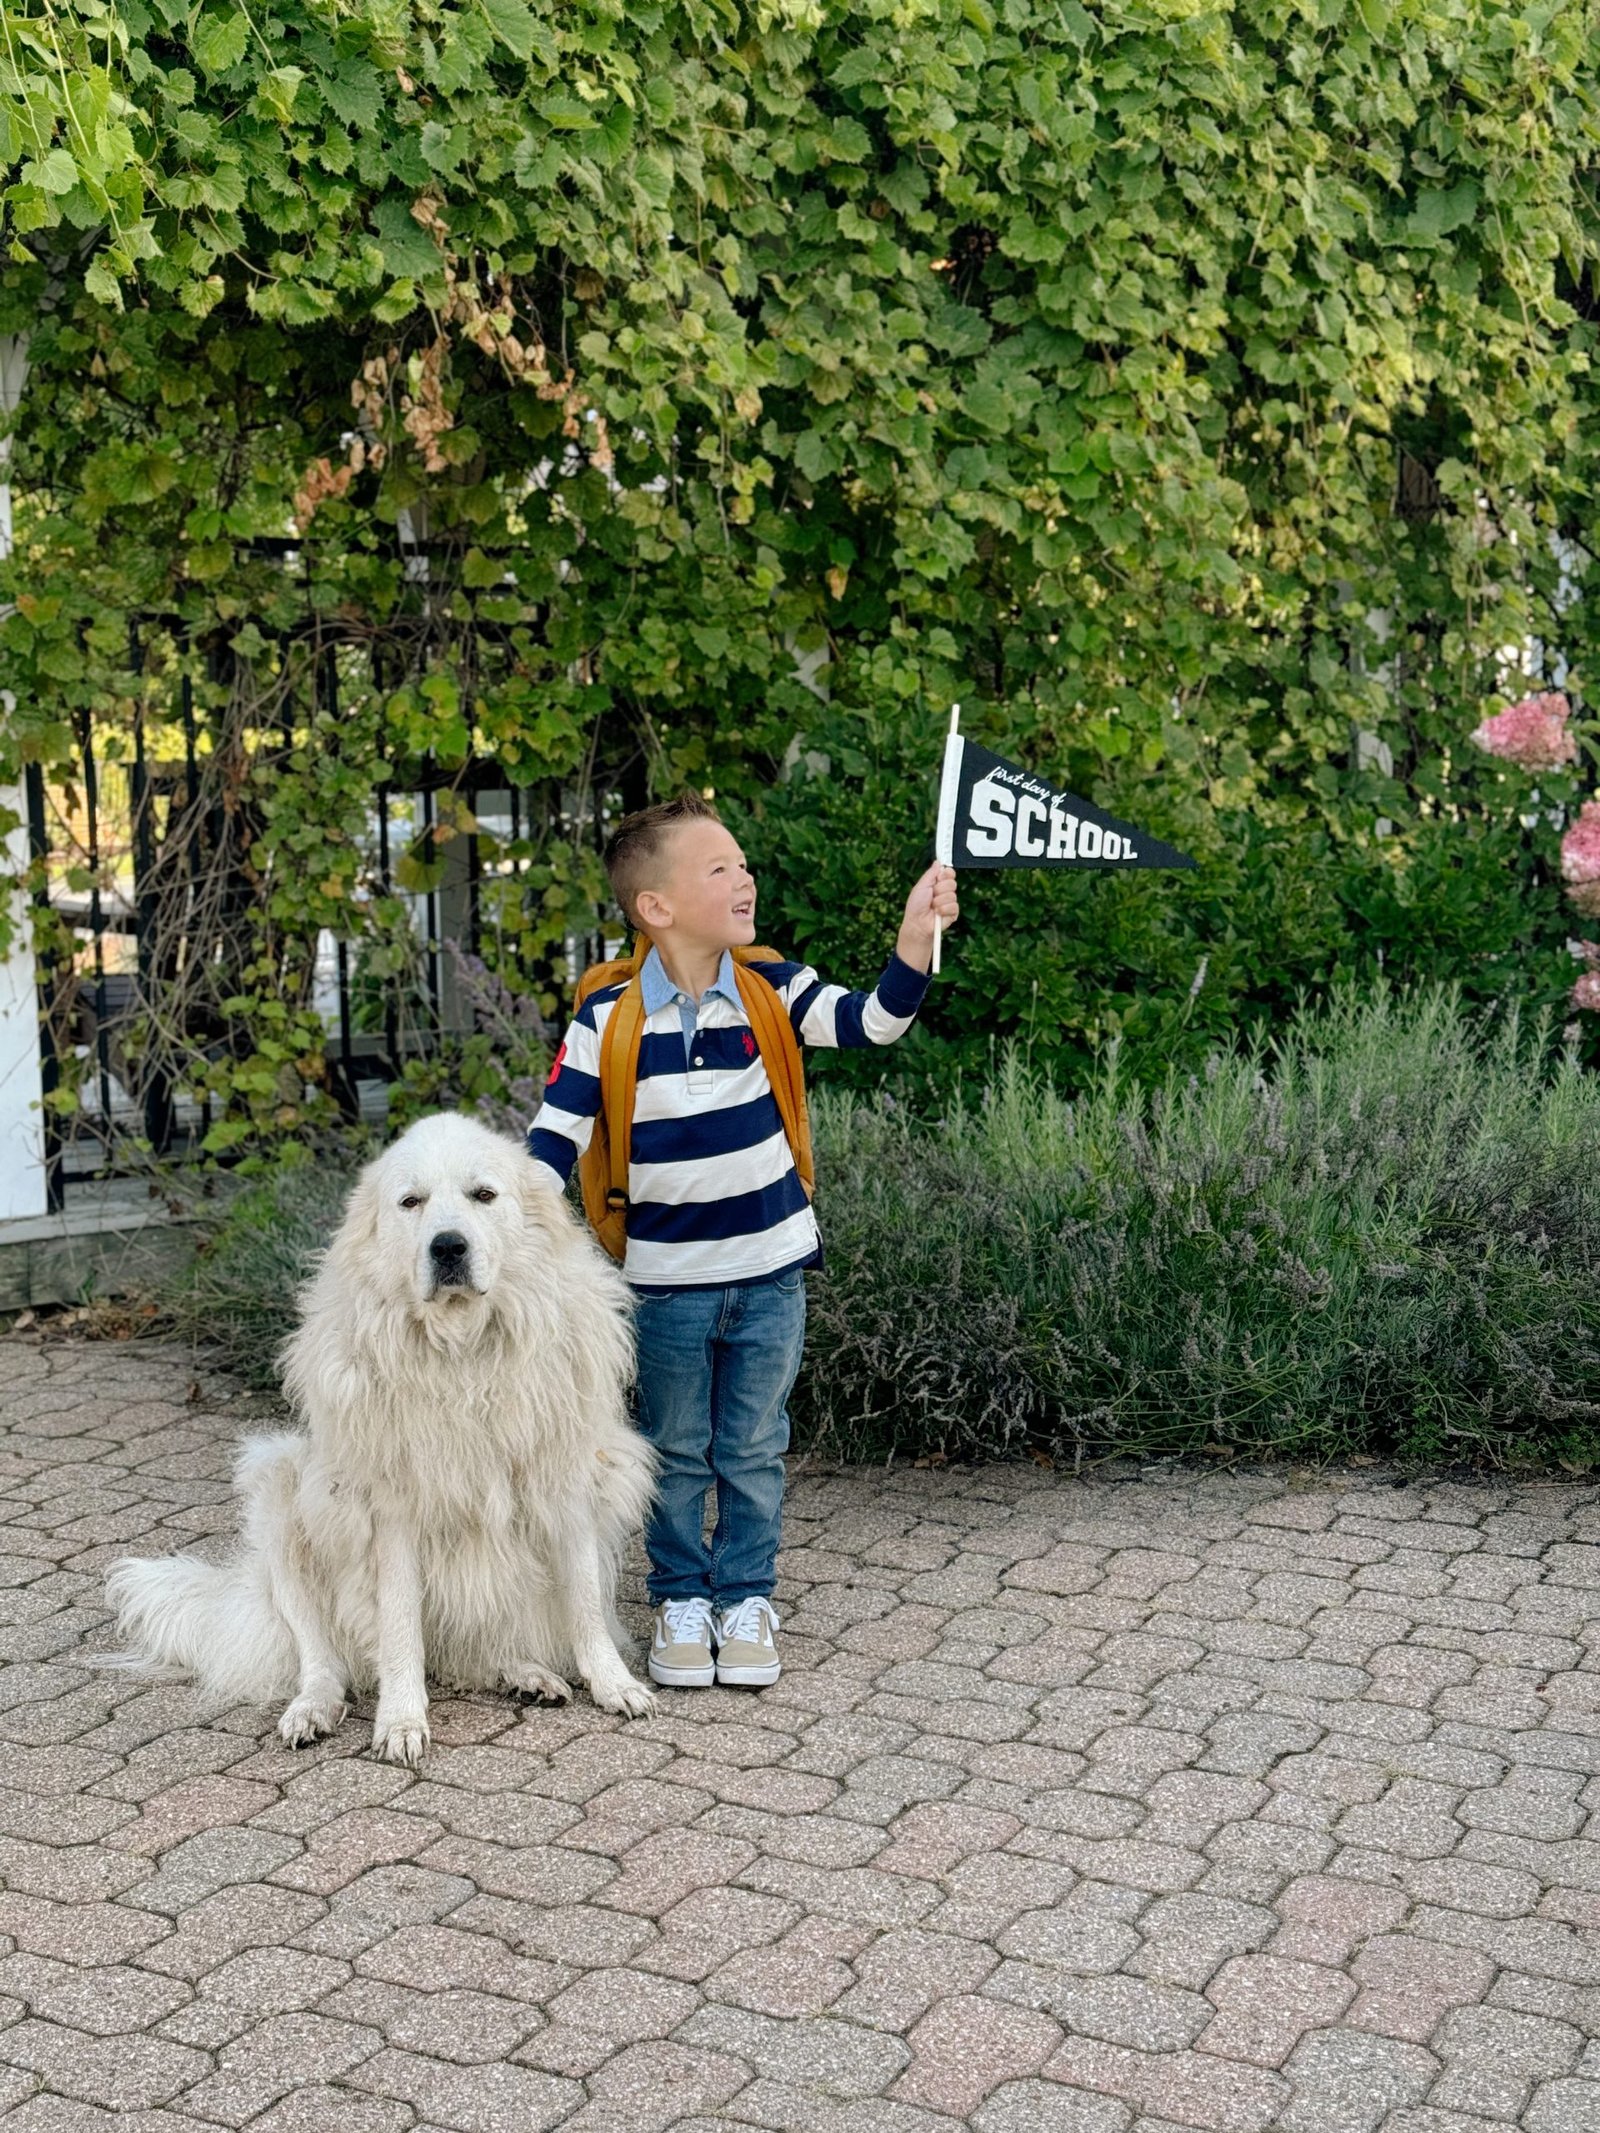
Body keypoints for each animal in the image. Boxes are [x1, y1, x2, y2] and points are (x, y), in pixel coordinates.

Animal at [105, 1109, 657, 1757]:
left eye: (483, 1195)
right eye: (411, 1202)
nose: (449, 1246)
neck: (463, 1353)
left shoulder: (566, 1481)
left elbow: (586, 1604)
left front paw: (613, 1683)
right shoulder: (392, 1510)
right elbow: (398, 1629)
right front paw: (401, 1721)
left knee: (471, 1653)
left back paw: (525, 1674)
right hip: (284, 1486)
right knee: (323, 1655)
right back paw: (313, 1709)